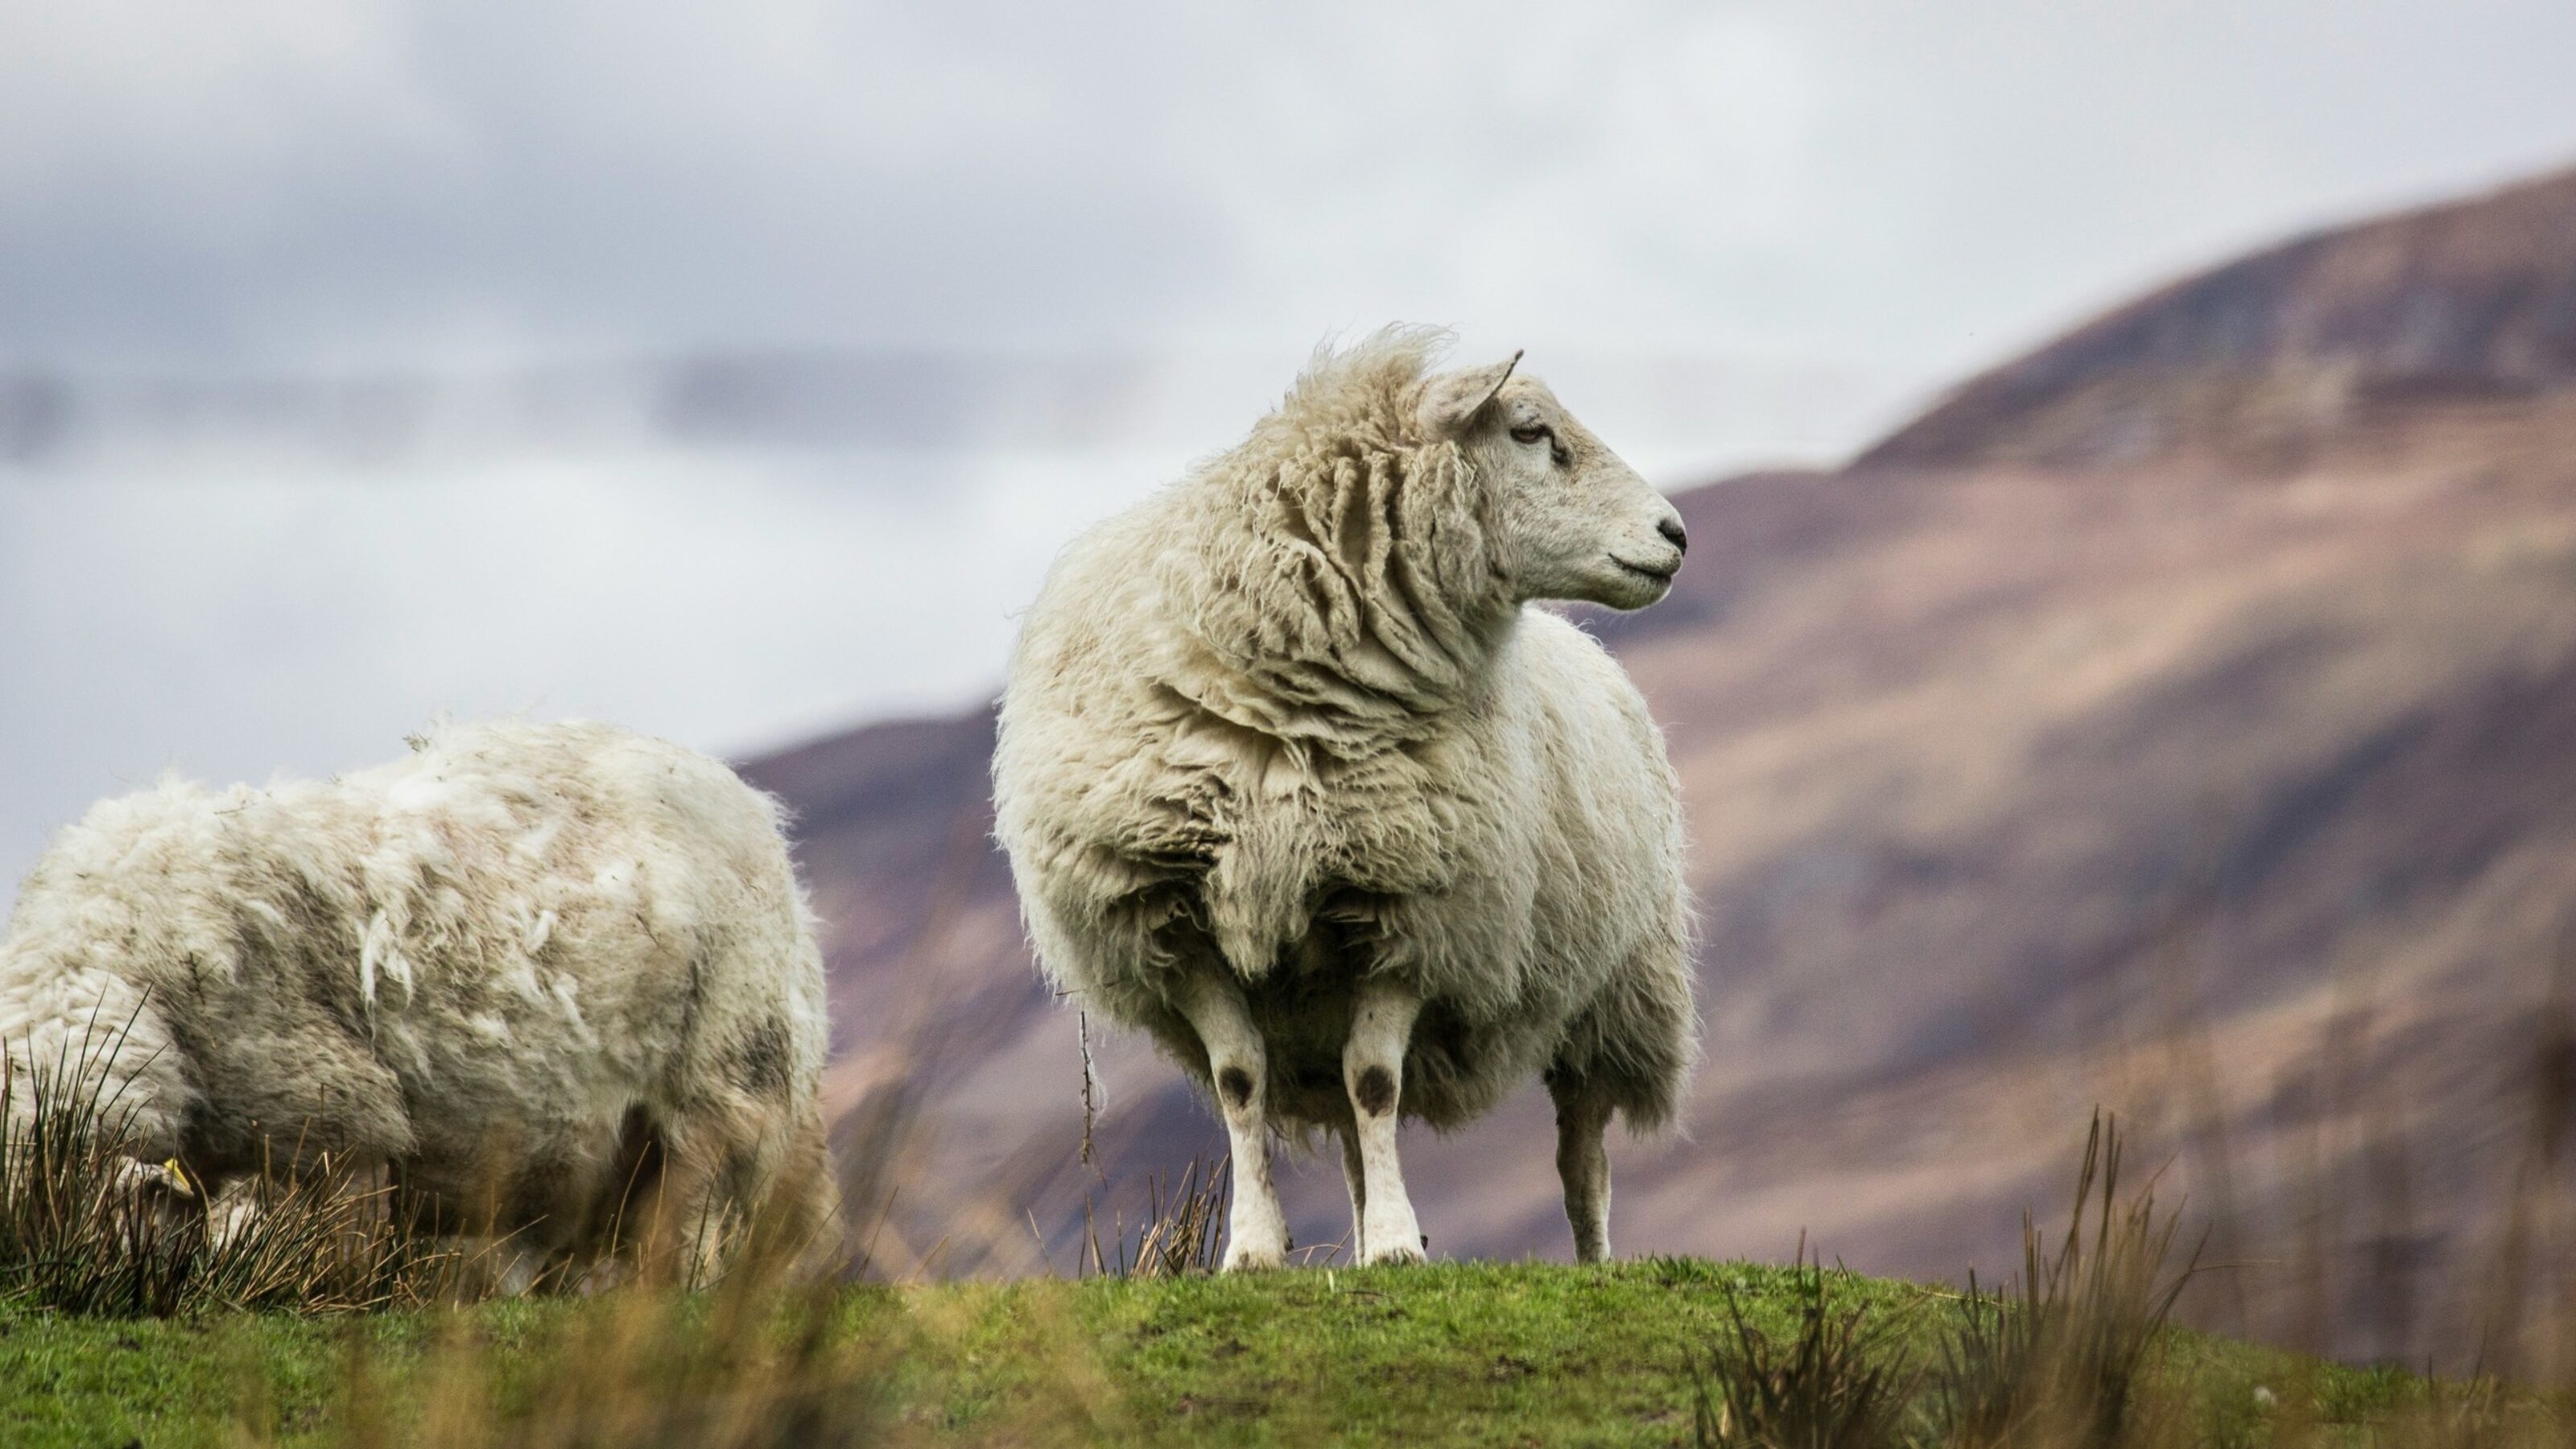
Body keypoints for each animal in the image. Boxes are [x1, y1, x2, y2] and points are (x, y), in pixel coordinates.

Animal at [993, 328, 1697, 1269]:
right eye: (1528, 431)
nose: (1676, 534)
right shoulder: (1177, 918)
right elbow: (1241, 1083)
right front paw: (1255, 1251)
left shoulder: (1409, 907)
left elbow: (1378, 1082)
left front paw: (1398, 1246)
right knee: (1365, 1142)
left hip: (1612, 994)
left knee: (1580, 1157)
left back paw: (1590, 1264)